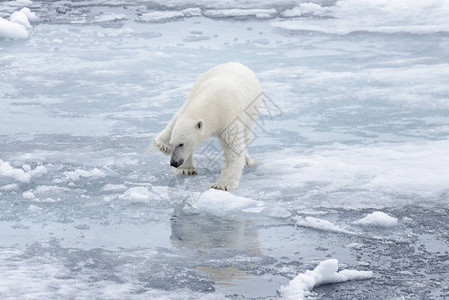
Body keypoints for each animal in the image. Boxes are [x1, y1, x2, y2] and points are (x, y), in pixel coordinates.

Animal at [151, 62, 260, 191]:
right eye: (173, 143)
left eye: (181, 144)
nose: (174, 163)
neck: (212, 102)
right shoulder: (193, 99)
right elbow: (177, 117)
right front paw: (186, 169)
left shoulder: (229, 117)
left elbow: (232, 147)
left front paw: (222, 184)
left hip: (252, 108)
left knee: (246, 134)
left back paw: (247, 160)